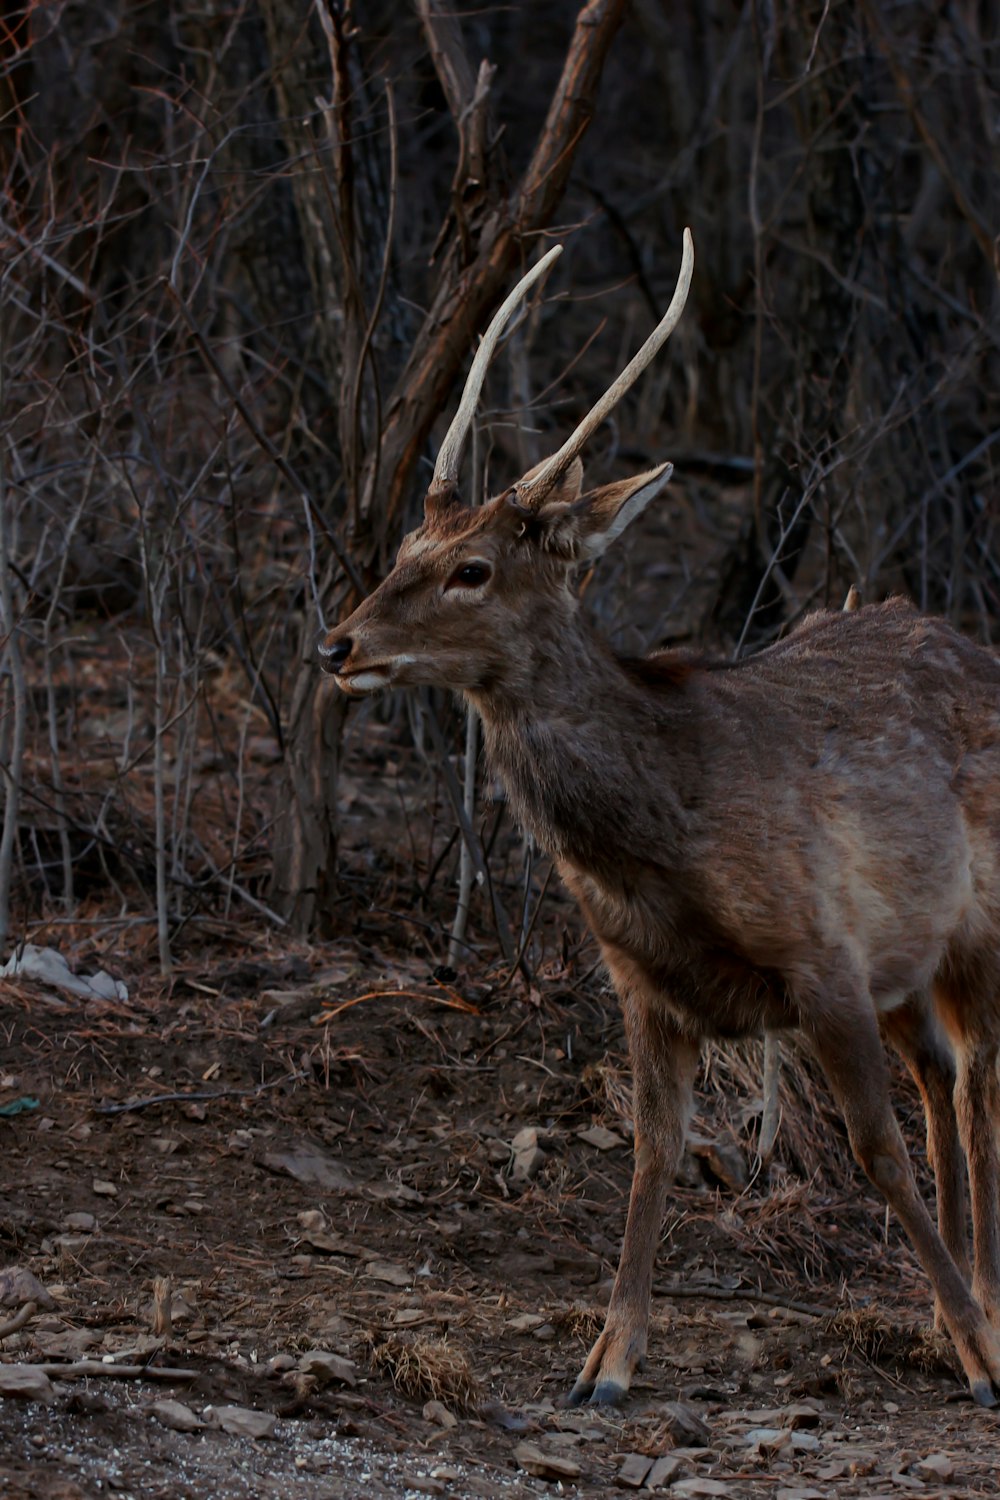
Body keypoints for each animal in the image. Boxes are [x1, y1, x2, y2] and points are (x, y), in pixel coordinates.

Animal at [319, 231, 1000, 1404]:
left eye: (472, 568)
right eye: (406, 545)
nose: (339, 645)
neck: (660, 845)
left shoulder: (823, 955)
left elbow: (874, 1154)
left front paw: (982, 1358)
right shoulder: (642, 985)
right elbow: (651, 1155)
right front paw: (606, 1362)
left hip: (980, 927)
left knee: (977, 1091)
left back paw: (983, 1308)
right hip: (913, 956)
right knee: (944, 1075)